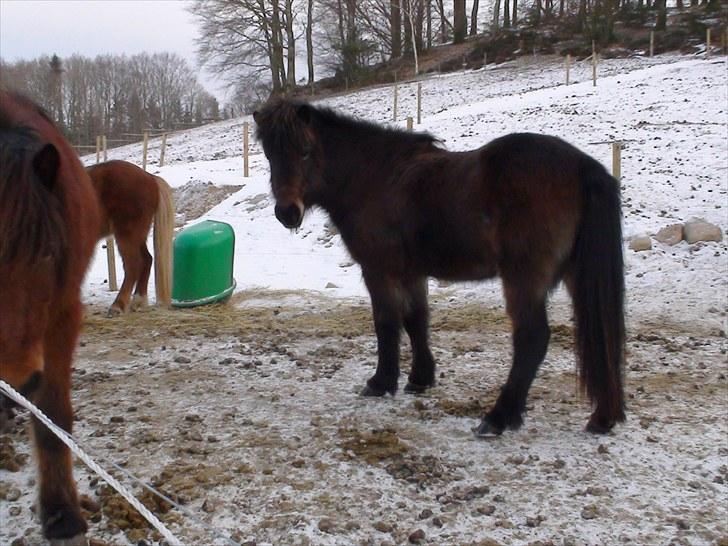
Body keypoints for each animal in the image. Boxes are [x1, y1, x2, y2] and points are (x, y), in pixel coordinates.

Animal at [86, 158, 174, 314]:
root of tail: (150, 177)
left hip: (127, 234)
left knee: (133, 264)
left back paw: (118, 305)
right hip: (137, 236)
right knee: (147, 259)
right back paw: (139, 301)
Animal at [256, 100, 624, 436]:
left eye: (305, 151)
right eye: (270, 156)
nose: (287, 212)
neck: (373, 178)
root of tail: (581, 166)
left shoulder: (379, 270)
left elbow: (386, 322)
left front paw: (381, 381)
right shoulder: (412, 272)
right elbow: (417, 320)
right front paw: (420, 378)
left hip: (523, 278)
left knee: (532, 339)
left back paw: (498, 417)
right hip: (576, 277)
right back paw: (603, 417)